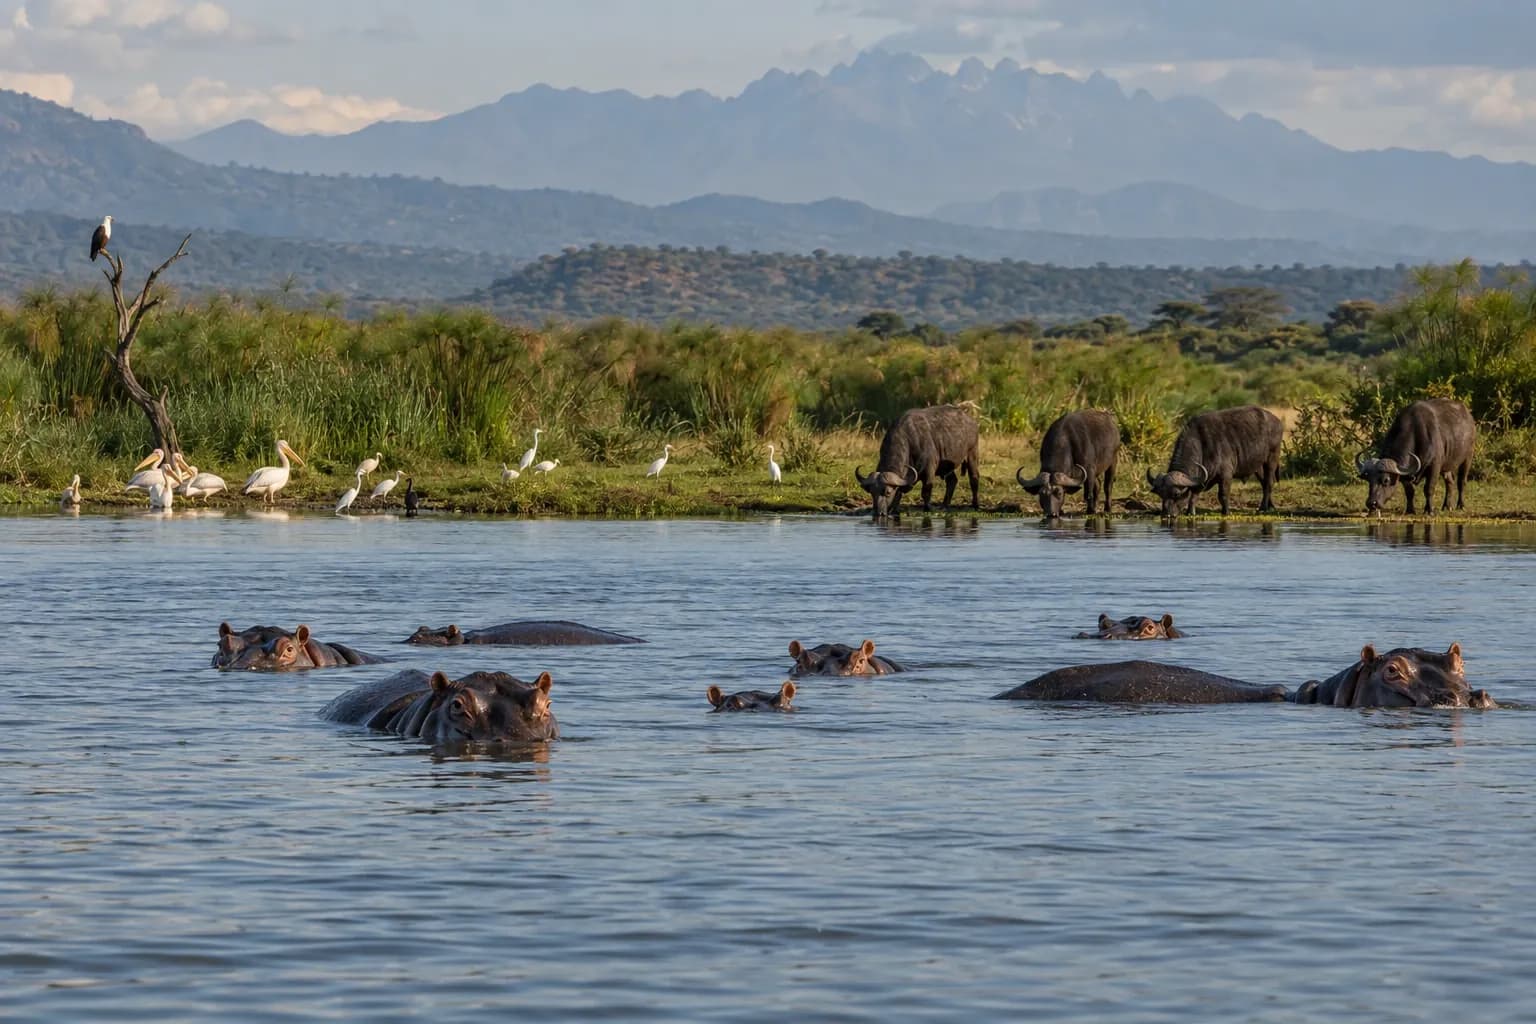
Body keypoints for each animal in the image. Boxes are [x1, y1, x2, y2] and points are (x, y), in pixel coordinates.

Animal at [1147, 405, 1283, 516]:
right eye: (1161, 494)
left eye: (1176, 494)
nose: (1166, 514)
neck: (1202, 444)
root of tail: (1277, 421)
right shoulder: (1200, 478)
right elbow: (1194, 495)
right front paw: (1190, 512)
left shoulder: (1226, 475)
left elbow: (1222, 495)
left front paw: (1226, 512)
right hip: (1257, 466)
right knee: (1264, 483)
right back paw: (1270, 505)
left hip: (1272, 458)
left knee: (1269, 482)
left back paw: (1263, 508)